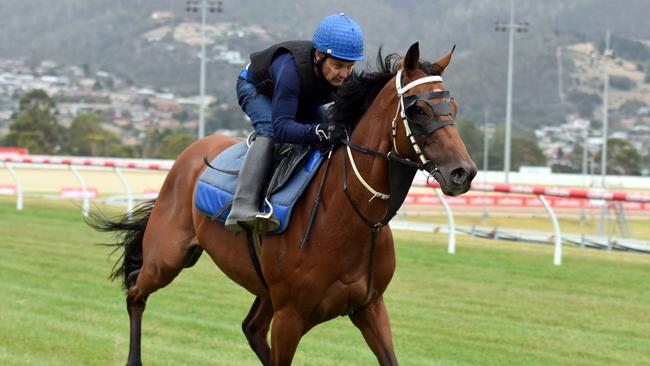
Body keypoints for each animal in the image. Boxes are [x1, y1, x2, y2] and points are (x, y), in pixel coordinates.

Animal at [92, 41, 476, 364]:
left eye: (454, 106)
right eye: (418, 108)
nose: (464, 172)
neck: (349, 216)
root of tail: (189, 154)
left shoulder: (370, 307)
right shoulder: (290, 317)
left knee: (251, 329)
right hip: (167, 257)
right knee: (135, 293)